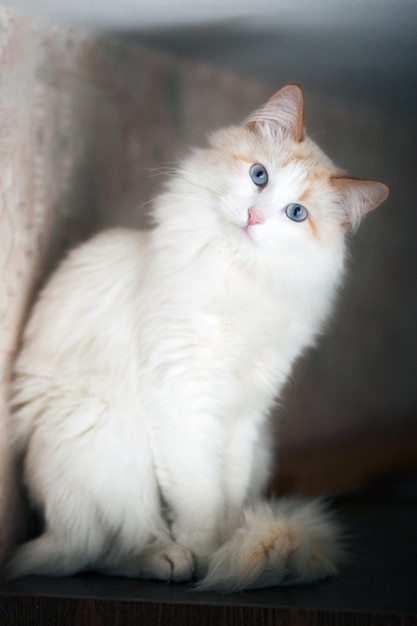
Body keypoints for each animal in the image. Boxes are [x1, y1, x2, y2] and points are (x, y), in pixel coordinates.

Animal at [5, 85, 386, 588]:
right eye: (259, 176)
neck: (239, 275)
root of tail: (53, 532)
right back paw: (168, 560)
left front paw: (230, 548)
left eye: (296, 214)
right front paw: (210, 557)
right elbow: (199, 499)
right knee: (104, 550)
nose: (253, 217)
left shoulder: (244, 415)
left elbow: (227, 498)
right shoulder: (181, 397)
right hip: (112, 441)